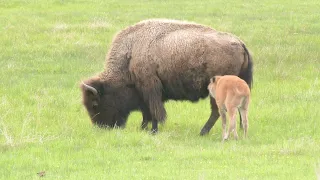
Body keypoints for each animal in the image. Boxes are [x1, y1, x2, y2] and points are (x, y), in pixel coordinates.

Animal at [80, 19, 252, 135]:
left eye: (95, 103)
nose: (101, 127)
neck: (130, 55)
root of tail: (240, 43)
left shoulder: (150, 89)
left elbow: (154, 111)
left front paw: (152, 131)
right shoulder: (147, 93)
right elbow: (147, 112)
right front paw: (143, 128)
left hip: (217, 91)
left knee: (217, 111)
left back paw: (203, 132)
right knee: (238, 109)